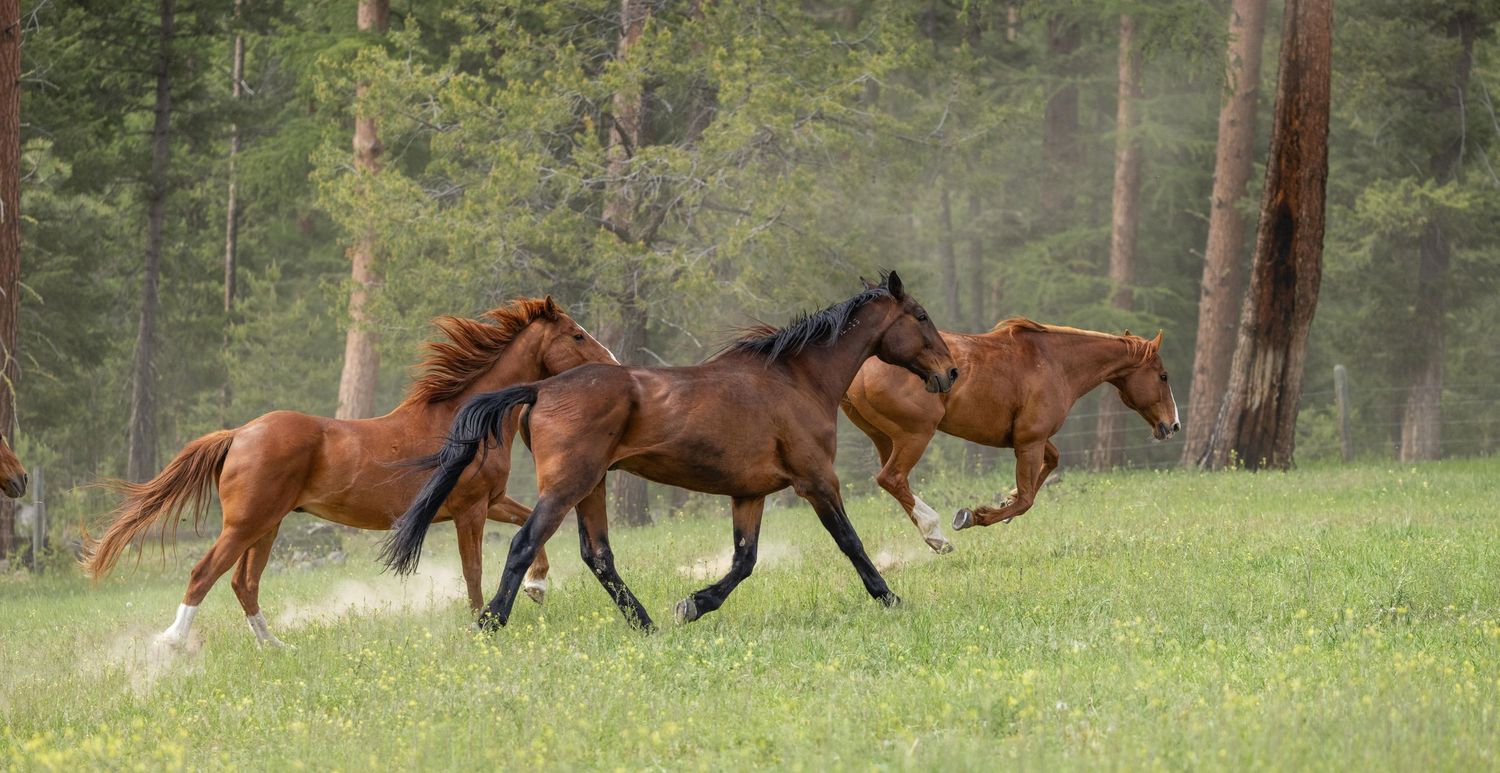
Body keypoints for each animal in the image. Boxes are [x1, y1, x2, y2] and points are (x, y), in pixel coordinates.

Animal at [82, 297, 616, 647]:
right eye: (577, 334)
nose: (612, 363)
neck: (464, 418)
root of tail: (239, 433)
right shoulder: (470, 511)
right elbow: (474, 571)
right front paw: (480, 623)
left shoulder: (492, 501)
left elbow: (536, 526)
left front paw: (537, 588)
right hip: (246, 524)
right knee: (204, 573)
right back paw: (171, 645)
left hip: (266, 526)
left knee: (242, 583)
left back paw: (275, 647)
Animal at [380, 271, 959, 631]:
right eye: (921, 315)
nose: (950, 372)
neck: (797, 379)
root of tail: (541, 388)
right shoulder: (817, 479)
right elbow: (850, 542)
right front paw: (892, 598)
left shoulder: (749, 494)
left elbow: (744, 561)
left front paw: (692, 605)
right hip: (568, 484)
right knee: (526, 544)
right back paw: (490, 623)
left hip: (592, 485)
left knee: (598, 555)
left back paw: (648, 624)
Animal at [841, 317, 1179, 548]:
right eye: (1163, 376)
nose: (1173, 425)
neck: (1054, 362)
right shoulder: (1030, 441)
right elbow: (1027, 499)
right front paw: (976, 515)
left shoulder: (1031, 439)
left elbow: (1052, 462)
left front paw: (1006, 500)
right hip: (915, 436)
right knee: (892, 478)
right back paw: (935, 533)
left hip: (885, 438)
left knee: (897, 483)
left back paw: (933, 536)